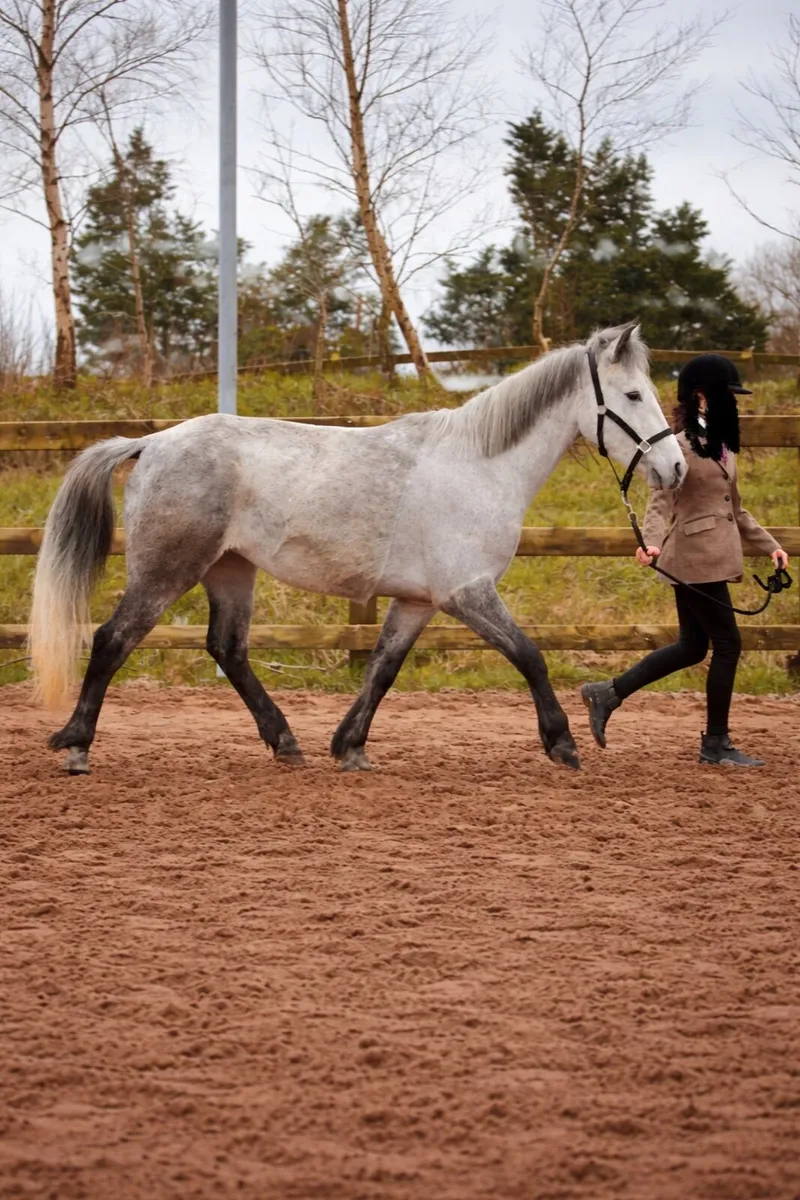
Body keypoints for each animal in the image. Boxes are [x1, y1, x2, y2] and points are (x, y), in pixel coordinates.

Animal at [29, 322, 685, 775]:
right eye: (632, 396)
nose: (676, 467)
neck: (478, 465)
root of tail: (153, 443)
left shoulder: (419, 601)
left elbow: (382, 668)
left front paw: (349, 746)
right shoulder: (467, 592)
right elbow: (530, 655)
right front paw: (563, 742)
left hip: (230, 570)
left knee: (228, 649)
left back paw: (285, 741)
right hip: (167, 569)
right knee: (113, 639)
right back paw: (77, 746)